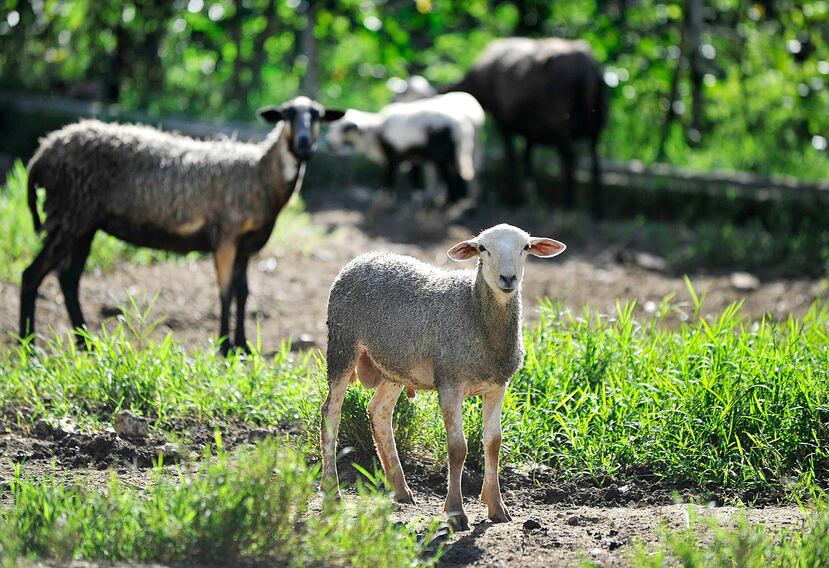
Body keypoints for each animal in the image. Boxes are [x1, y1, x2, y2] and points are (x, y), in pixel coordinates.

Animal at [20, 96, 345, 355]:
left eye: (317, 115)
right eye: (286, 114)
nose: (304, 144)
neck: (260, 174)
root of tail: (42, 154)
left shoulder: (246, 246)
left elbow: (243, 294)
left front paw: (243, 346)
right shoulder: (226, 237)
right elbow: (226, 291)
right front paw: (225, 346)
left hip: (83, 224)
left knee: (68, 279)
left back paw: (85, 343)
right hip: (69, 215)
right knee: (32, 274)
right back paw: (30, 346)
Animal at [320, 223, 566, 530]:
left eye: (526, 247)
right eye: (482, 248)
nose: (508, 278)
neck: (474, 310)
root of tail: (361, 259)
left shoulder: (498, 386)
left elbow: (493, 443)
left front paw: (496, 507)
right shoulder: (450, 382)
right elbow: (458, 448)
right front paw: (456, 512)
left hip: (394, 365)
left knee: (378, 411)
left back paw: (400, 489)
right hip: (342, 345)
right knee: (331, 413)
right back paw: (332, 493)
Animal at [325, 92, 484, 203]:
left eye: (344, 129)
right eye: (331, 127)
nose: (328, 143)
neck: (375, 130)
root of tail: (461, 127)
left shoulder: (392, 155)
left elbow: (389, 177)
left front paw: (383, 197)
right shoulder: (413, 156)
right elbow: (414, 178)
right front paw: (417, 197)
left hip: (442, 155)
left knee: (450, 175)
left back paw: (452, 201)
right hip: (455, 153)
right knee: (458, 174)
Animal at [397, 38, 608, 215]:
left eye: (405, 94)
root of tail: (584, 68)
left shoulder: (503, 122)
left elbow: (512, 158)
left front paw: (513, 199)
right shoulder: (530, 129)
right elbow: (526, 159)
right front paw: (530, 198)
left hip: (562, 125)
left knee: (570, 160)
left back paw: (568, 205)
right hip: (596, 124)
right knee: (595, 161)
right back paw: (597, 209)